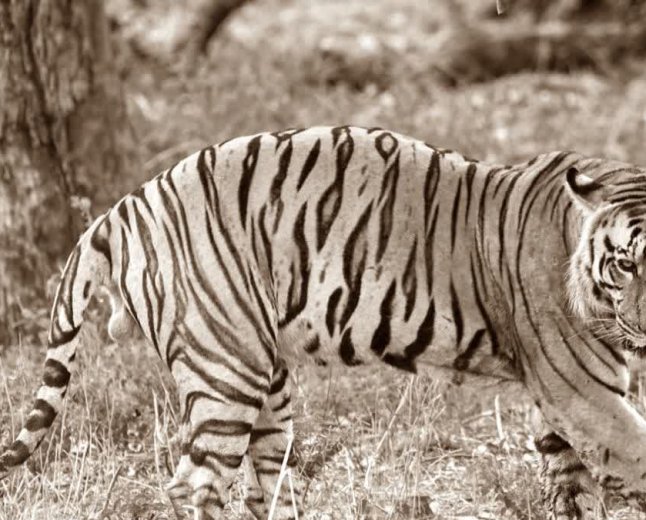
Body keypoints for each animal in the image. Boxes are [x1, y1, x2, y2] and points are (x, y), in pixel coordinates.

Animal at [2, 125, 646, 519]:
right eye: (627, 264)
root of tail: (122, 206)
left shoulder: (555, 404)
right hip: (226, 370)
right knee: (194, 484)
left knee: (262, 485)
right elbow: (635, 460)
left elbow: (574, 487)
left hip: (266, 384)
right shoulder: (581, 394)